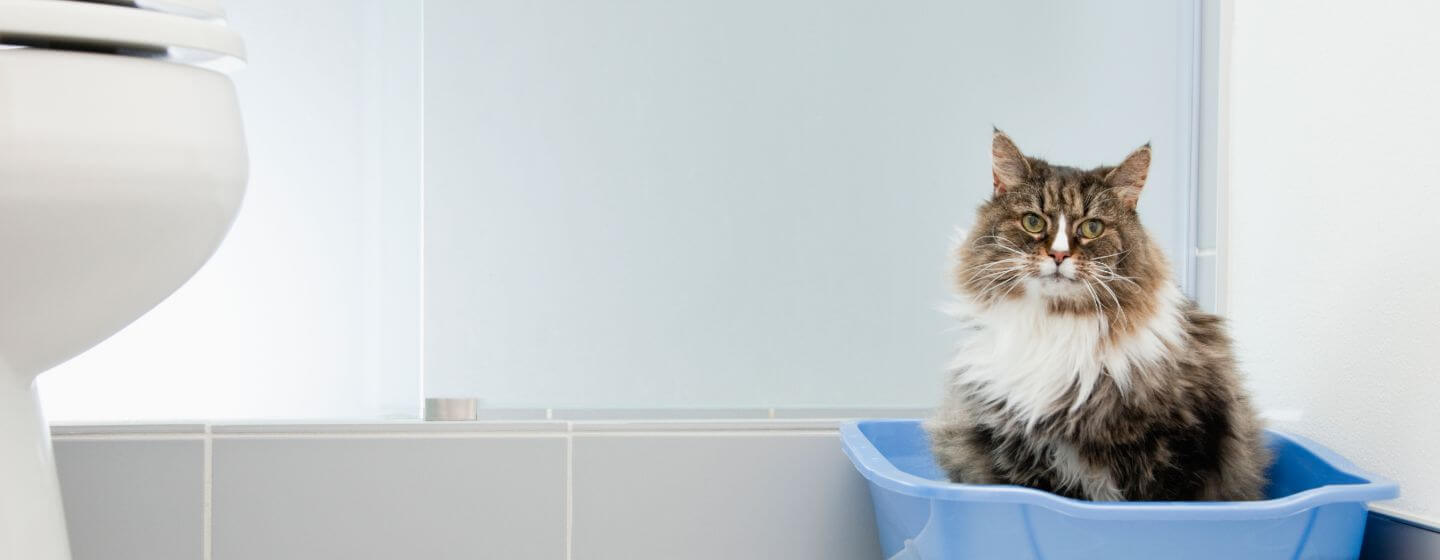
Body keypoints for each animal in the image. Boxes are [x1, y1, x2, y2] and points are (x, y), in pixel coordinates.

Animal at [921, 128, 1272, 500]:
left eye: (1092, 228)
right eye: (1033, 222)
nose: (1059, 255)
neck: (1057, 325)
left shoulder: (1181, 449)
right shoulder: (1019, 452)